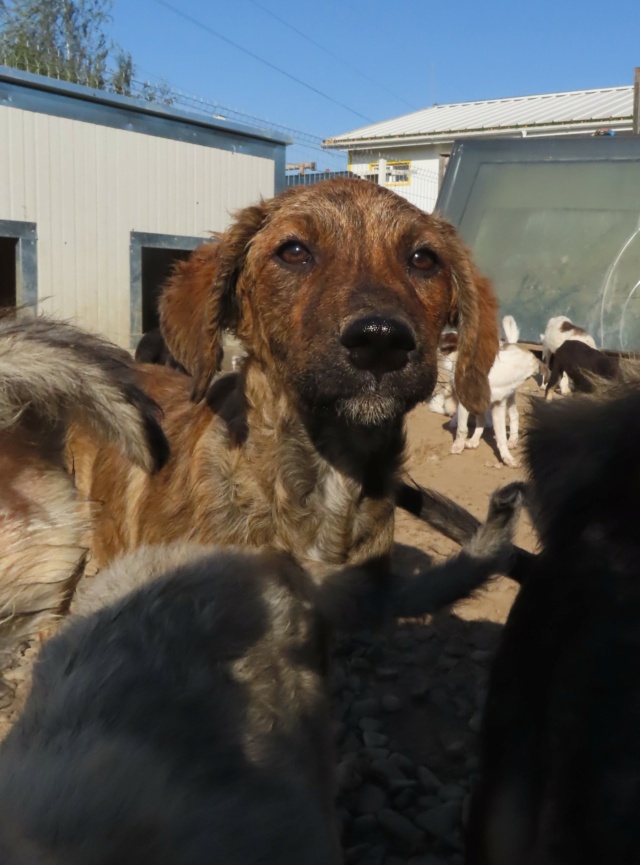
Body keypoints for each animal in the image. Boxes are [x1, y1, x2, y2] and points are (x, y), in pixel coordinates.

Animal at [444, 316, 544, 466]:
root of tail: (510, 343)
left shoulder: (498, 406)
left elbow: (500, 436)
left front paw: (507, 457)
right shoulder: (468, 402)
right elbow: (464, 426)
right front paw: (460, 444)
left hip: (509, 396)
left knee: (513, 414)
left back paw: (512, 440)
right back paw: (474, 439)